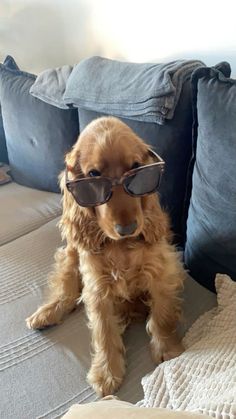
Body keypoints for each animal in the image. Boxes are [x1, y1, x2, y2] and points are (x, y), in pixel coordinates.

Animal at [26, 117, 186, 398]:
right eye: (94, 176)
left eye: (136, 169)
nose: (127, 228)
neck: (121, 247)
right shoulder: (97, 287)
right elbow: (103, 330)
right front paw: (107, 372)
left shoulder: (161, 271)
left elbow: (162, 314)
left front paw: (167, 349)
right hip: (70, 253)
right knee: (67, 290)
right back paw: (46, 313)